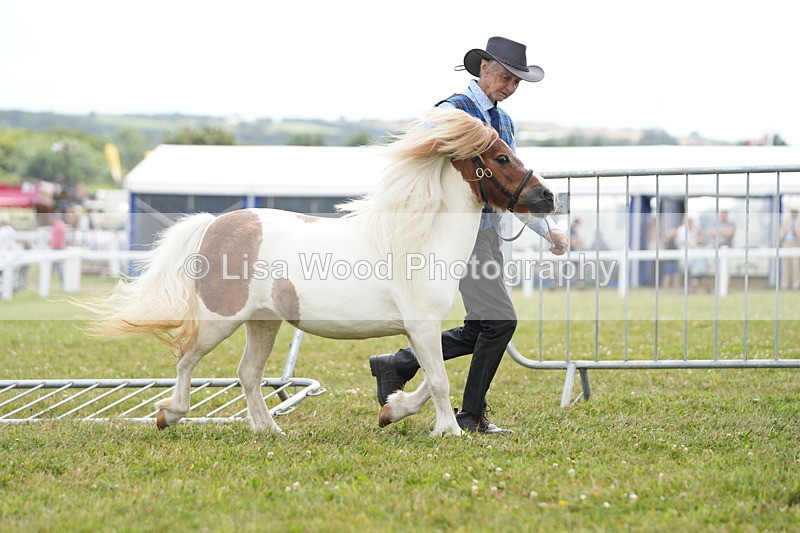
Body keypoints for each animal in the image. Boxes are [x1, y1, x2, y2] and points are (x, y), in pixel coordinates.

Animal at [87, 108, 556, 437]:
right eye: (502, 157)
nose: (548, 197)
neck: (419, 238)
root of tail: (214, 224)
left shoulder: (419, 329)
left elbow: (435, 375)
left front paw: (393, 410)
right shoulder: (421, 325)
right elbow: (439, 380)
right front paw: (449, 431)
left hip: (264, 322)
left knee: (248, 374)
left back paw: (270, 430)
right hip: (220, 320)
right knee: (186, 360)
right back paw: (170, 414)